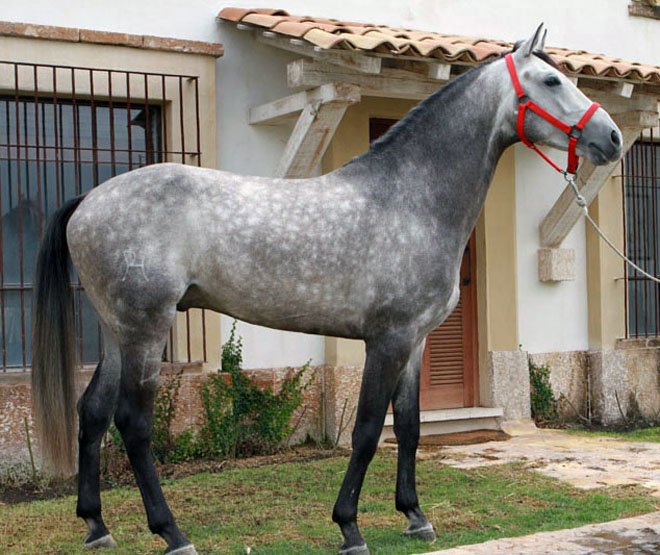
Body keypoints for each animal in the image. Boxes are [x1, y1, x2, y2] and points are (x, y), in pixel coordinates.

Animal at [31, 25, 622, 554]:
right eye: (551, 81)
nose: (612, 137)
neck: (408, 199)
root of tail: (88, 200)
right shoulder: (386, 340)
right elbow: (367, 430)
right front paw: (350, 528)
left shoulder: (416, 342)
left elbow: (410, 427)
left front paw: (415, 517)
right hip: (147, 330)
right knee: (132, 424)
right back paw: (172, 535)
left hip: (119, 333)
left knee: (92, 413)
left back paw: (97, 527)